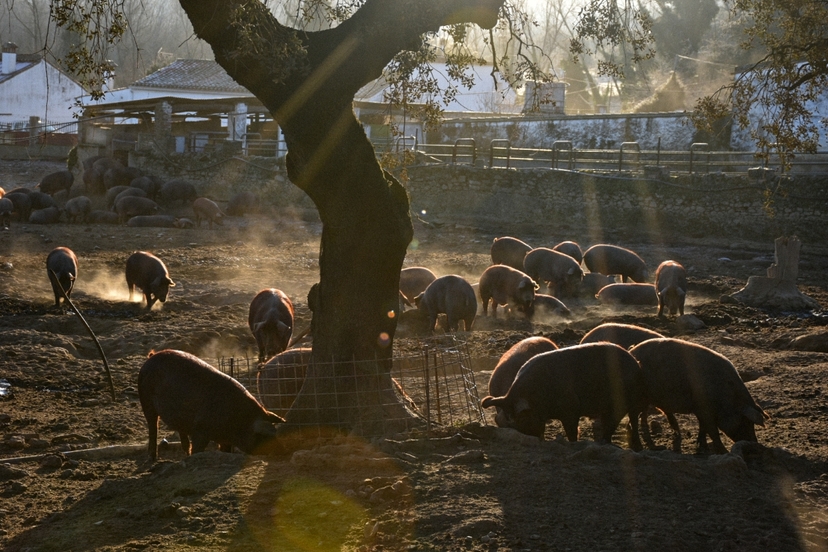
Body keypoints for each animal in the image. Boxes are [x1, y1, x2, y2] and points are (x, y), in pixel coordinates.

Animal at [138, 349, 284, 460]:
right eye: (264, 437)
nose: (282, 451)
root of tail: (151, 357)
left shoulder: (225, 439)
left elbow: (225, 450)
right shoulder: (200, 430)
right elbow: (198, 448)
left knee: (182, 434)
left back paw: (185, 455)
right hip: (145, 400)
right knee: (153, 428)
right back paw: (152, 459)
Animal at [481, 342, 646, 450]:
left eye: (521, 419)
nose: (528, 440)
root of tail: (635, 363)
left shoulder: (571, 408)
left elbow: (572, 432)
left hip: (628, 400)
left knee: (626, 420)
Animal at [629, 338, 769, 454]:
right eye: (745, 422)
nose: (754, 443)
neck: (727, 396)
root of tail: (632, 350)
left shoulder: (701, 410)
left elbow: (703, 428)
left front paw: (703, 447)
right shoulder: (705, 409)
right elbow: (712, 431)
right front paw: (724, 452)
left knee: (649, 413)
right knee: (634, 419)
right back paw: (639, 447)